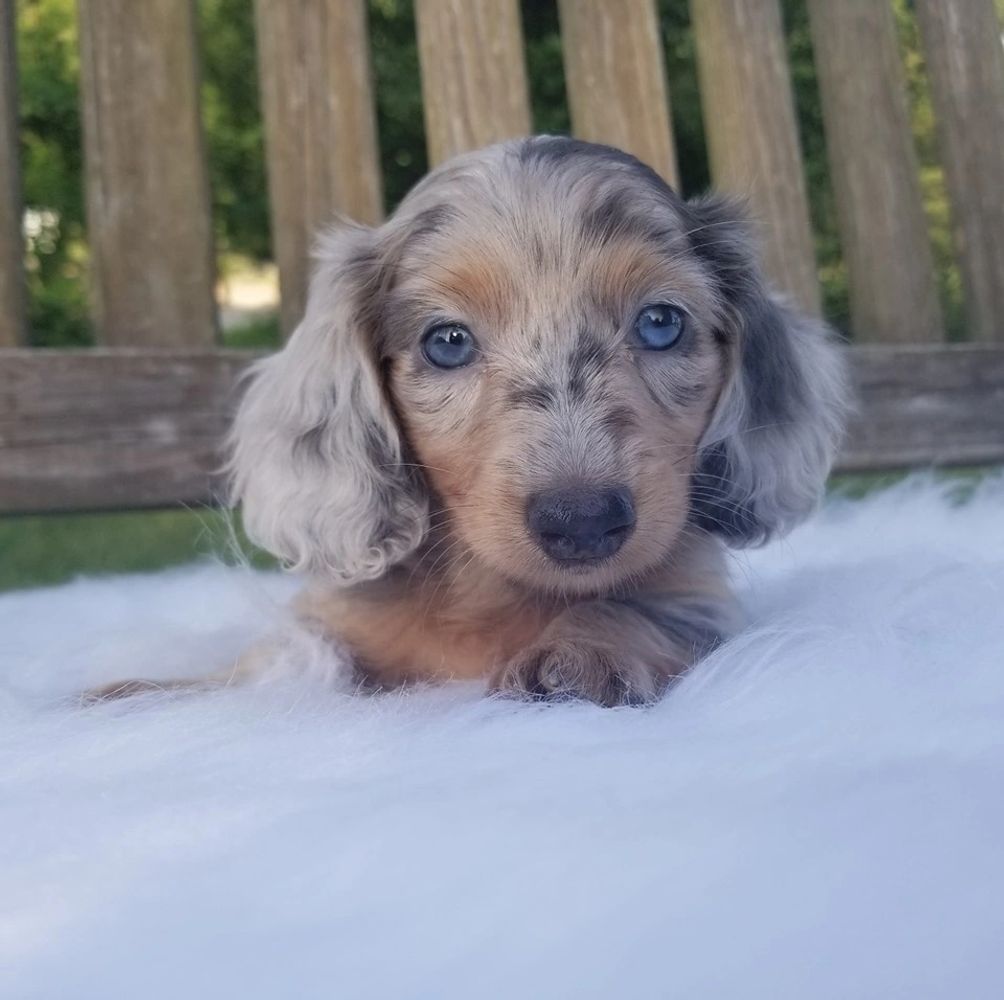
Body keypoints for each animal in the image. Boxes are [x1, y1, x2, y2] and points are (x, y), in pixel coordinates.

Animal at [99, 136, 847, 706]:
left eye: (661, 323)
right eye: (448, 342)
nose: (582, 522)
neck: (491, 595)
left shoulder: (701, 603)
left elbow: (631, 606)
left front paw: (583, 651)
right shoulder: (333, 622)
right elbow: (277, 662)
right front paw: (144, 693)